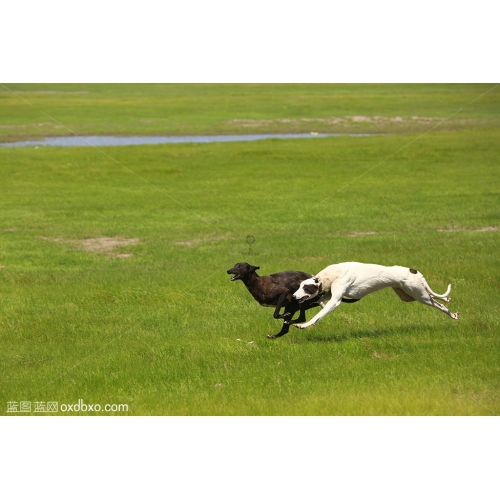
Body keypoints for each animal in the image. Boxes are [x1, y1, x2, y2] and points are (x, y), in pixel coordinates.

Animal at [227, 262, 360, 340]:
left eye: (240, 266)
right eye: (235, 265)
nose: (228, 270)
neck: (258, 283)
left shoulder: (283, 293)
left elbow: (276, 314)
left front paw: (283, 315)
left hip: (299, 301)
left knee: (302, 317)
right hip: (295, 305)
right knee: (288, 327)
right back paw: (275, 335)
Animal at [292, 262, 460, 328]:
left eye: (306, 288)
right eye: (300, 286)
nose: (293, 296)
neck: (332, 275)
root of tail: (414, 271)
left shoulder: (335, 300)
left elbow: (318, 316)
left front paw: (303, 325)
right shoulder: (329, 293)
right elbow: (322, 299)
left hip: (419, 295)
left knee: (438, 304)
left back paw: (452, 315)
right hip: (408, 295)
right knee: (435, 297)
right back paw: (447, 299)